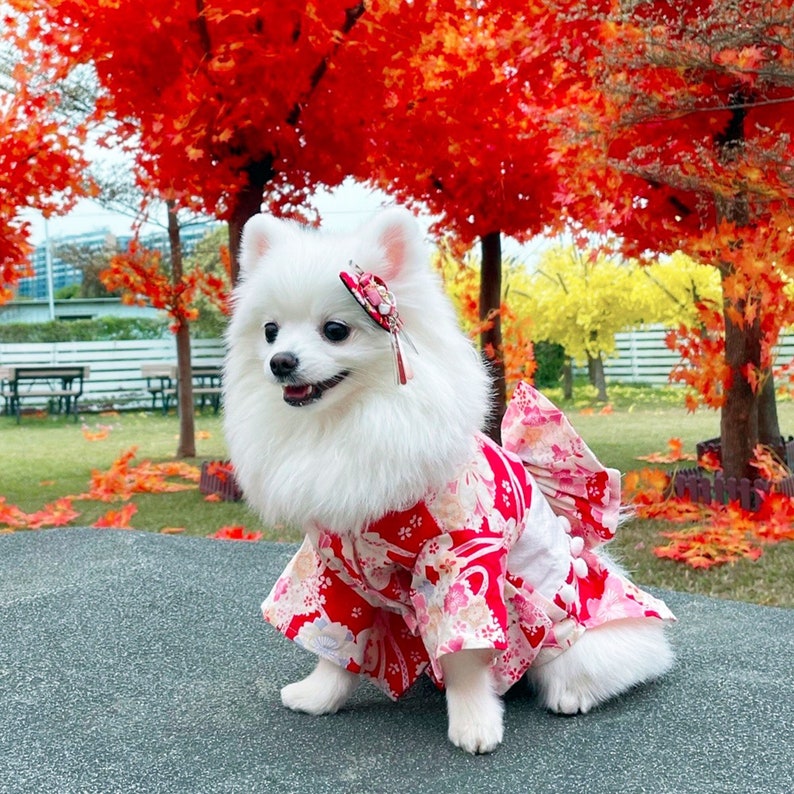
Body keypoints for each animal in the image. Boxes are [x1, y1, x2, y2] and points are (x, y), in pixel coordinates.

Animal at [224, 207, 676, 752]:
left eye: (335, 330)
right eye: (270, 331)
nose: (281, 362)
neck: (349, 424)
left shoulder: (460, 560)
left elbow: (463, 662)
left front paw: (474, 724)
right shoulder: (334, 570)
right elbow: (337, 640)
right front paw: (319, 695)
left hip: (577, 633)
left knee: (609, 664)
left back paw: (574, 693)